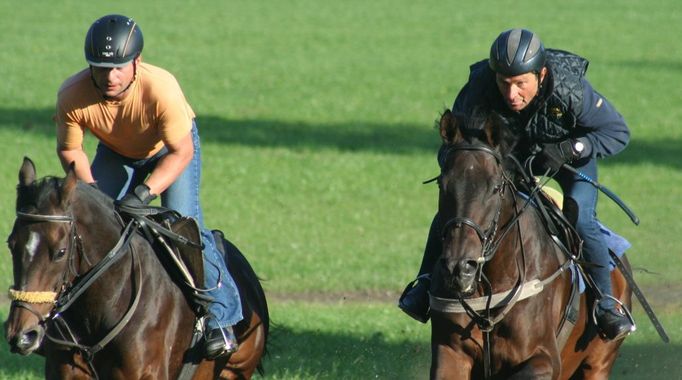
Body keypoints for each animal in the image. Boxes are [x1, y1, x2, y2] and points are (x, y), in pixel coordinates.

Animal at [428, 108, 628, 378]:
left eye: (495, 187)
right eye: (443, 183)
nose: (459, 267)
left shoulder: (544, 358)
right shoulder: (450, 352)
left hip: (598, 364)